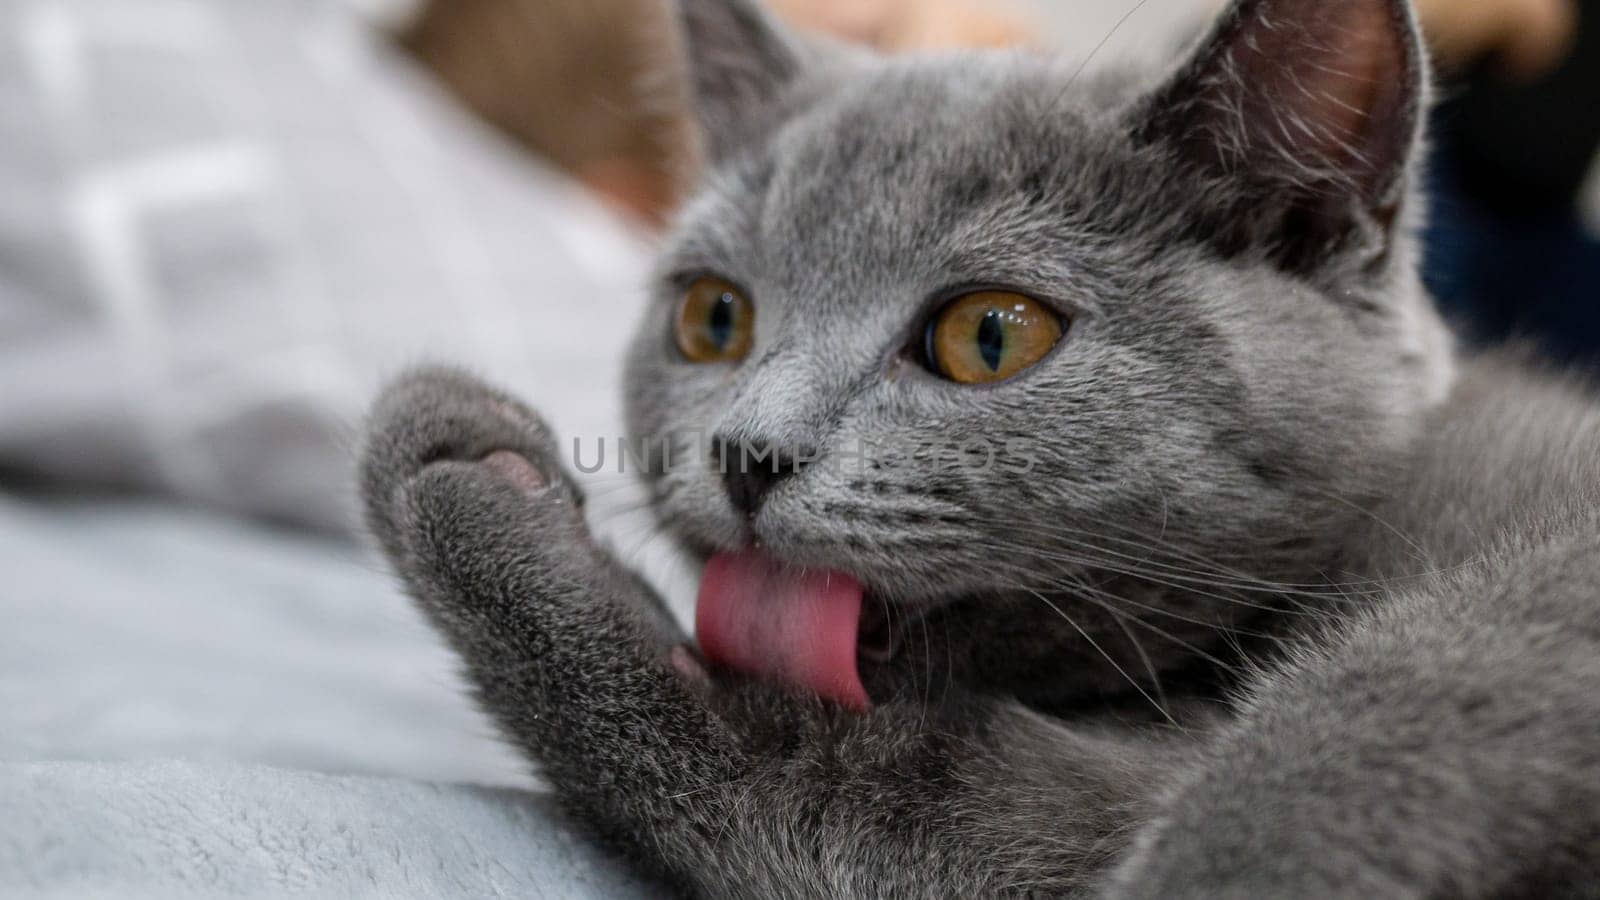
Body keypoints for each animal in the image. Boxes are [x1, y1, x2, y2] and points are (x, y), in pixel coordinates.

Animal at [360, 0, 1600, 890]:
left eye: (989, 336)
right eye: (713, 318)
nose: (748, 452)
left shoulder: (1523, 596)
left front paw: (470, 482)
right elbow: (899, 802)